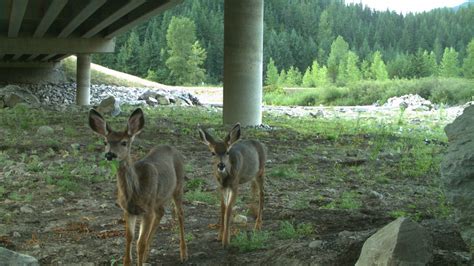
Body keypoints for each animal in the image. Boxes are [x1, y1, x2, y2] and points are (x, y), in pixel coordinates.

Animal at [88, 108, 187, 266]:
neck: (136, 191)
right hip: (158, 199)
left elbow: (140, 243)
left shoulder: (147, 210)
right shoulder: (128, 210)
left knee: (180, 214)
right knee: (161, 212)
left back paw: (183, 254)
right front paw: (127, 262)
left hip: (178, 186)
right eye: (105, 142)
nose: (109, 155)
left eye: (124, 142)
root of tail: (171, 147)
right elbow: (130, 238)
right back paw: (148, 254)